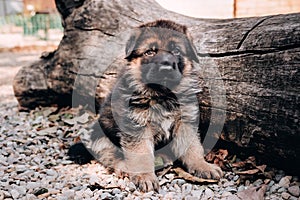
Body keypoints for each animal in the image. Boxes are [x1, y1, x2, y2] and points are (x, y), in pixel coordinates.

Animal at [69, 19, 221, 191]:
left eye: (176, 51)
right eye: (150, 52)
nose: (166, 66)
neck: (162, 95)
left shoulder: (186, 123)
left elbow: (193, 148)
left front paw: (202, 165)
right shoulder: (136, 127)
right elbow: (141, 154)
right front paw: (144, 176)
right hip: (100, 135)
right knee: (109, 155)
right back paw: (125, 167)